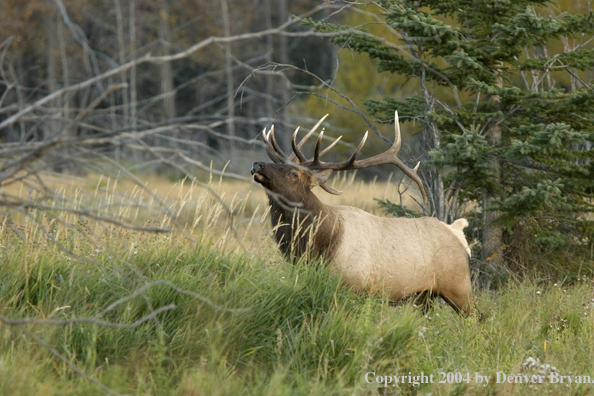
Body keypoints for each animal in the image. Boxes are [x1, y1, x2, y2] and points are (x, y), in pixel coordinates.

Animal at [251, 112, 472, 316]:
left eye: (293, 173)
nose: (257, 164)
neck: (319, 245)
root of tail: (457, 231)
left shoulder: (353, 286)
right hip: (425, 295)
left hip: (459, 285)